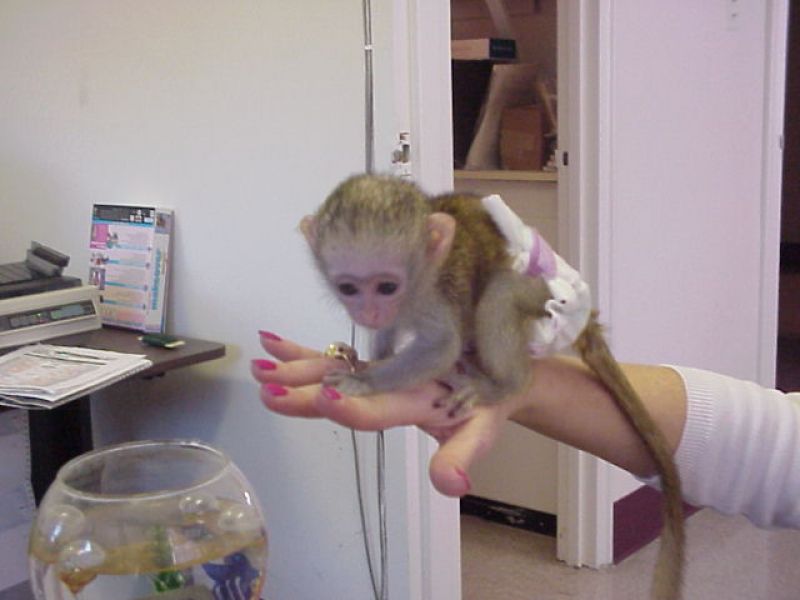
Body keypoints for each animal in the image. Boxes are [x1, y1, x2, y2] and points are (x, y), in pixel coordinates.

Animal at [301, 173, 684, 600]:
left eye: (386, 286)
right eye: (349, 288)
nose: (367, 311)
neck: (416, 285)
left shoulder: (434, 293)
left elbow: (441, 346)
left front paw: (364, 380)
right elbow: (388, 335)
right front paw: (367, 358)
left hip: (545, 297)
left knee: (500, 293)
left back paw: (505, 384)